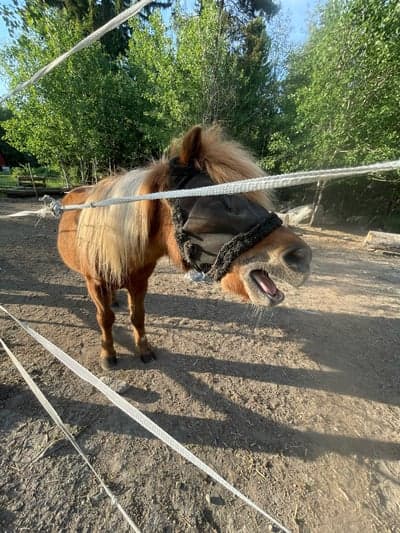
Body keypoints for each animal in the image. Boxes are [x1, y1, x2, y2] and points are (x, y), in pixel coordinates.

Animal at [57, 125, 312, 368]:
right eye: (221, 201)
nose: (301, 256)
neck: (115, 234)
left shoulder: (139, 282)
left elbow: (137, 316)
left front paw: (144, 350)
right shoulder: (96, 283)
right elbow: (105, 319)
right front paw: (108, 355)